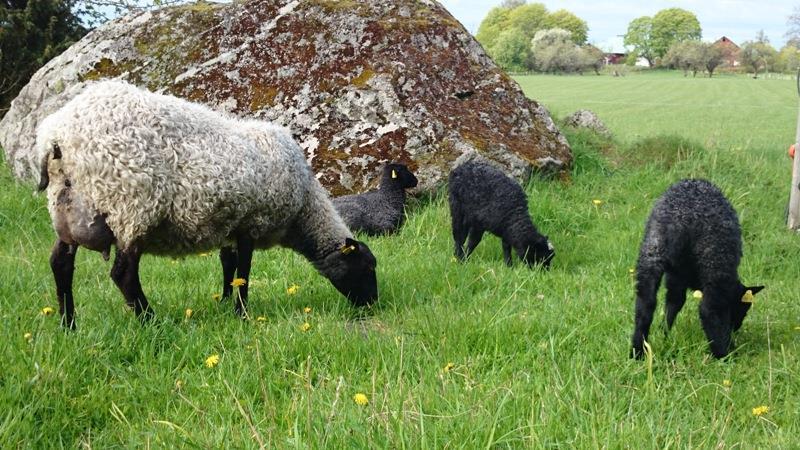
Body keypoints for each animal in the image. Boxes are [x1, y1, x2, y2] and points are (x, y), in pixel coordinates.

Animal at [34, 80, 378, 326]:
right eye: (366, 267)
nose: (373, 305)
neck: (304, 207)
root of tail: (56, 135)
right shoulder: (252, 222)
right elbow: (244, 271)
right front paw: (242, 312)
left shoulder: (230, 225)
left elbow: (228, 266)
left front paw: (225, 303)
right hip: (130, 206)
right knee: (124, 274)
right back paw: (150, 321)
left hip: (70, 211)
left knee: (60, 264)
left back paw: (68, 324)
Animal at [632, 178, 764, 358]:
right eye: (743, 308)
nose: (736, 327)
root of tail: (679, 219)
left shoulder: (676, 276)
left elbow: (674, 303)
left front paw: (664, 334)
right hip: (715, 261)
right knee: (707, 309)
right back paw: (723, 355)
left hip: (651, 252)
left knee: (645, 305)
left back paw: (637, 351)